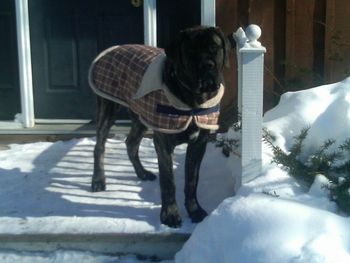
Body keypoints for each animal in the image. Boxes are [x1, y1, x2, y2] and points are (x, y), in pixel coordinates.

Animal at [91, 26, 231, 229]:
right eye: (191, 51)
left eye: (215, 47)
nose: (207, 65)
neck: (192, 99)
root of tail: (113, 48)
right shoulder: (163, 143)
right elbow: (168, 182)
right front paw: (170, 215)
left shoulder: (199, 143)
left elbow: (192, 180)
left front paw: (194, 210)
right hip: (108, 107)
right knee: (99, 146)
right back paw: (98, 181)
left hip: (141, 116)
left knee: (131, 143)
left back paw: (142, 173)